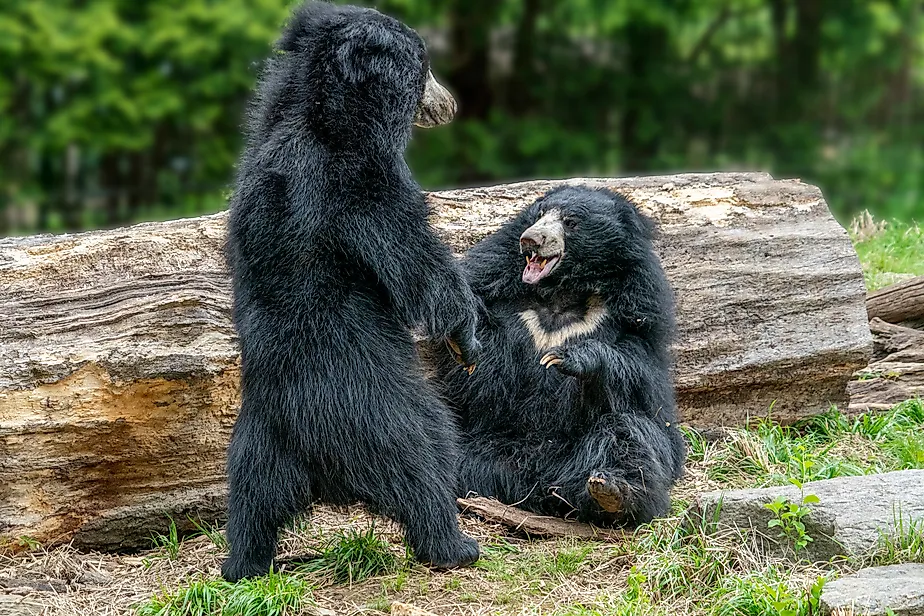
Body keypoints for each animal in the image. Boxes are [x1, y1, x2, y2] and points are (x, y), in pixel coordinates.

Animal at [222, 1, 482, 582]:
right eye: (424, 67)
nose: (450, 104)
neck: (321, 114)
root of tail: (317, 460)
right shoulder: (360, 179)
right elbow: (414, 256)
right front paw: (467, 337)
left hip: (257, 439)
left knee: (249, 497)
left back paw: (242, 564)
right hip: (378, 405)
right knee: (426, 455)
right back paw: (455, 545)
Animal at [431, 186, 687, 527]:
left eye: (571, 222)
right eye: (539, 215)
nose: (530, 239)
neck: (562, 293)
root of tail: (533, 480)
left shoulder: (638, 317)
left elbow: (643, 385)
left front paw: (567, 358)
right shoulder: (502, 298)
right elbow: (480, 381)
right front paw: (462, 339)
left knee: (626, 431)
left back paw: (612, 492)